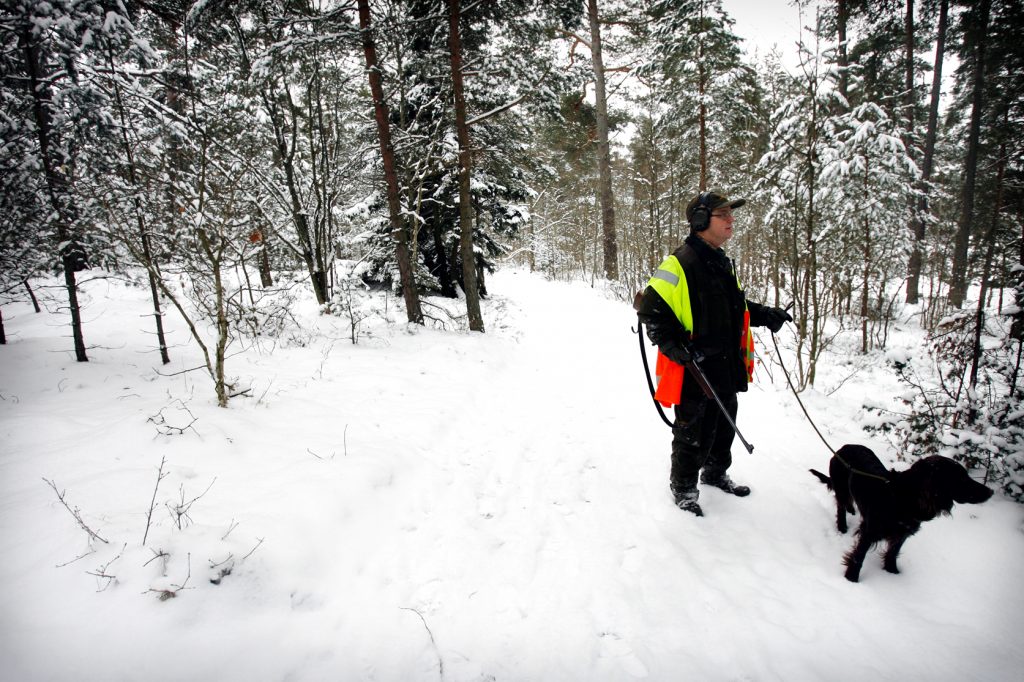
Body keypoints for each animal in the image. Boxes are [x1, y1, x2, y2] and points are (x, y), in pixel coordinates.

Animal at [806, 444, 991, 581]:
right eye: (961, 478)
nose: (990, 492)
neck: (902, 498)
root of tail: (842, 448)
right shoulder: (869, 531)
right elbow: (859, 556)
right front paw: (851, 579)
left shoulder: (902, 532)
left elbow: (893, 553)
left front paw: (892, 573)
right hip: (842, 488)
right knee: (841, 507)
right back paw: (842, 527)